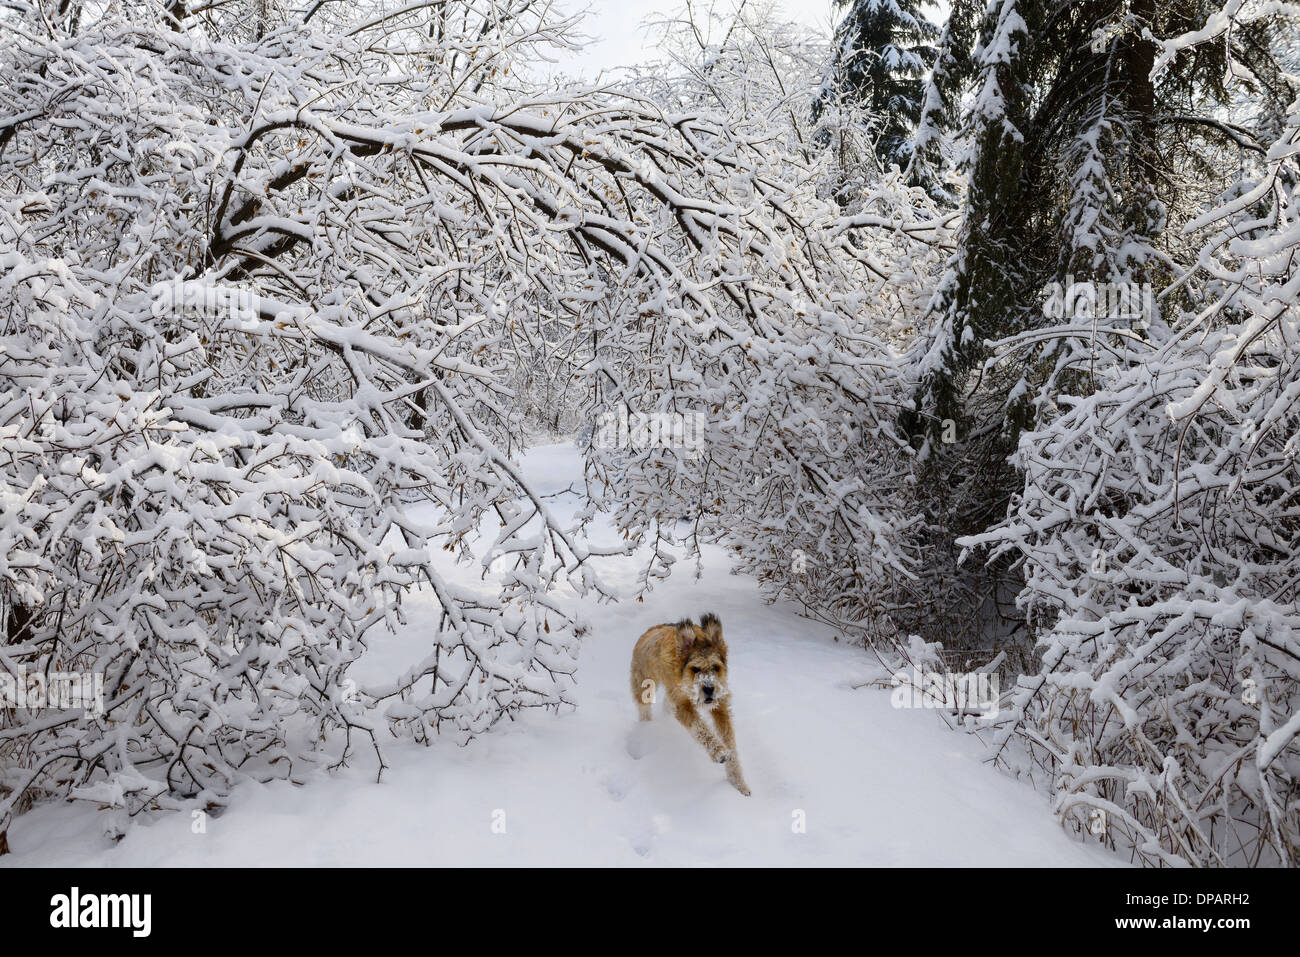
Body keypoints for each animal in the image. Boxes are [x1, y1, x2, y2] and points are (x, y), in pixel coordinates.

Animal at [629, 608, 754, 795]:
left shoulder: (721, 706)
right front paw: (719, 752)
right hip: (643, 685)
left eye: (716, 667)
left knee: (666, 705)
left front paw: (738, 782)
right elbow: (700, 728)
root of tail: (650, 630)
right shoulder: (682, 706)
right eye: (695, 669)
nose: (709, 689)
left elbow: (729, 741)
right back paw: (646, 728)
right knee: (644, 709)